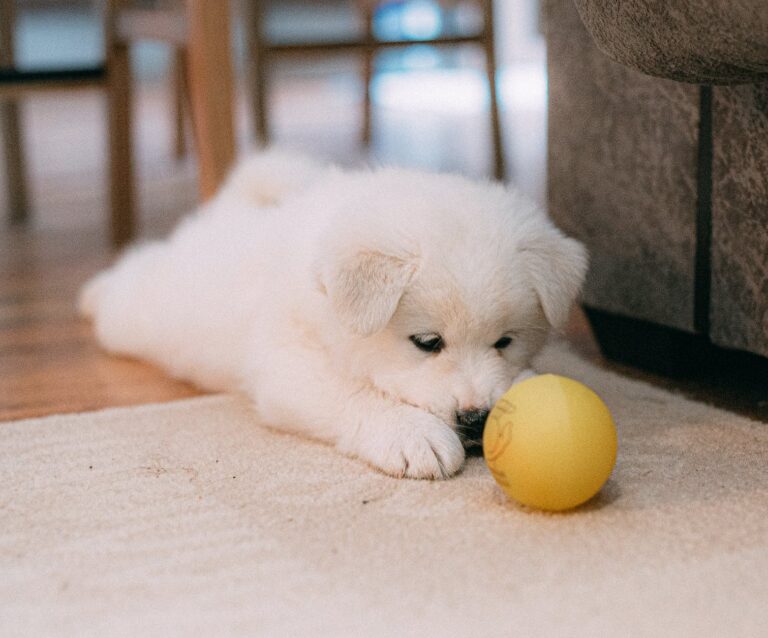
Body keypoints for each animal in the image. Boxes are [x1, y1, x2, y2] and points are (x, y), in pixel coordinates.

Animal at [79, 150, 588, 480]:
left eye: (505, 341)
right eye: (427, 342)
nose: (476, 418)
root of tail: (225, 211)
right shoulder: (288, 366)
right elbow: (353, 394)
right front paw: (414, 435)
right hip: (144, 313)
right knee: (129, 276)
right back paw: (93, 292)